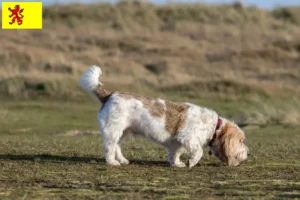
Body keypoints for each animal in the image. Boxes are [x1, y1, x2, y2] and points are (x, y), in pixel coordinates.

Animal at [78, 65, 250, 167]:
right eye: (241, 141)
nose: (249, 153)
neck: (214, 127)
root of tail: (110, 95)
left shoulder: (177, 142)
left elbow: (175, 153)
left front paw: (177, 163)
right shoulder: (188, 138)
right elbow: (198, 152)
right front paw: (192, 162)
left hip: (122, 132)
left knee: (117, 146)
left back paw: (122, 160)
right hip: (113, 131)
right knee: (109, 146)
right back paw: (112, 162)